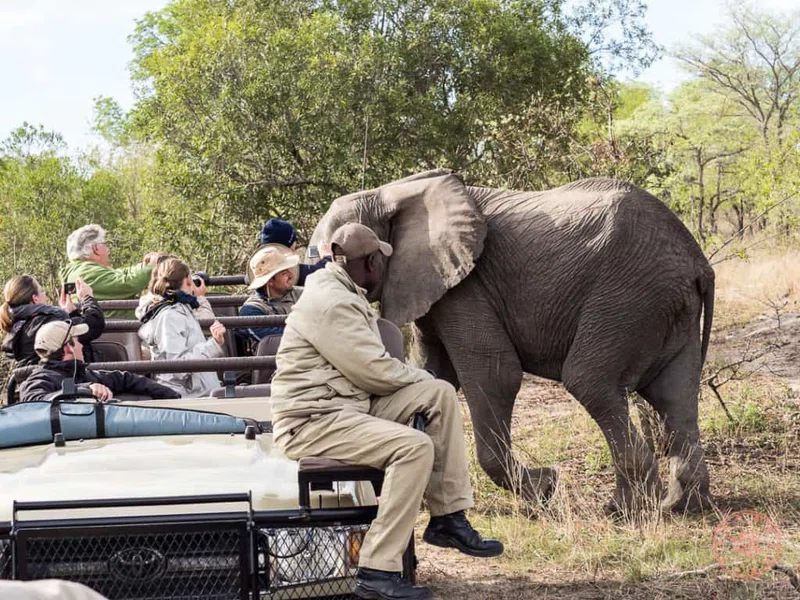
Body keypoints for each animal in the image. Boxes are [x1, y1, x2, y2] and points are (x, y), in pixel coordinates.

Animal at [309, 169, 715, 515]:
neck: (390, 192)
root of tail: (698, 260)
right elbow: (433, 375)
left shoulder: (467, 286)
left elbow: (494, 373)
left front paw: (545, 489)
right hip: (665, 304)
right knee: (674, 393)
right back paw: (682, 505)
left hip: (628, 296)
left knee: (590, 381)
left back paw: (626, 510)